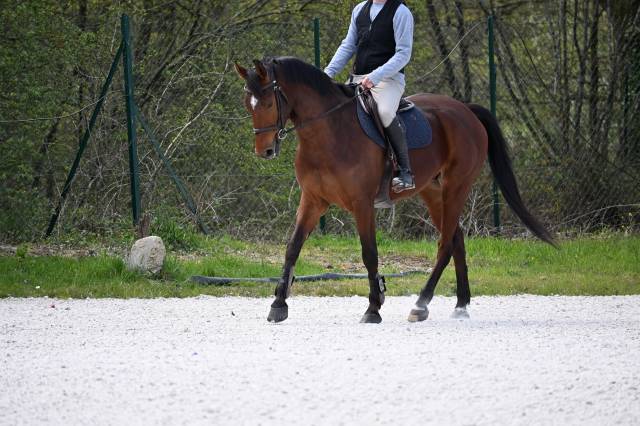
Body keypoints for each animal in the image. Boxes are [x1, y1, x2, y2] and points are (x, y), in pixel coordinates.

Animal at [234, 56, 555, 324]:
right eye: (248, 105)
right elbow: (292, 247)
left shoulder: (362, 204)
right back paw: (461, 305)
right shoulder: (313, 201)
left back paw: (421, 304)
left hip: (457, 186)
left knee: (445, 243)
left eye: (267, 104)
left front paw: (373, 307)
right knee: (456, 237)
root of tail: (465, 109)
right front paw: (278, 305)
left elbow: (369, 253)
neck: (328, 133)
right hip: (431, 191)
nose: (264, 151)